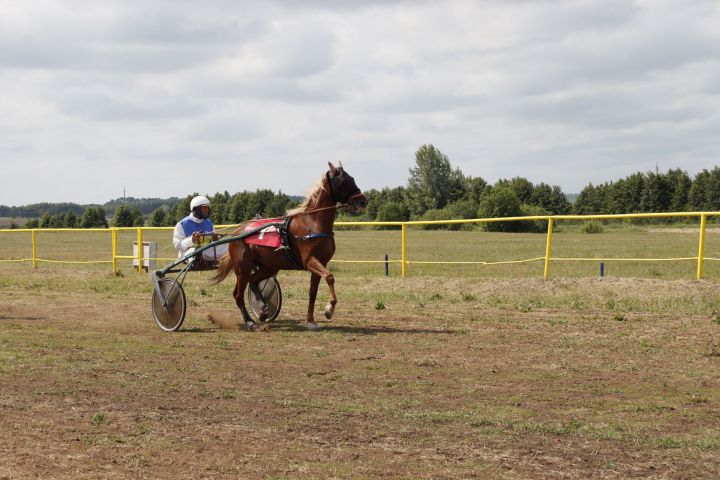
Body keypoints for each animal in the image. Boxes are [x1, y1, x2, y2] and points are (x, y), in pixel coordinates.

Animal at [208, 161, 366, 330]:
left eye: (352, 178)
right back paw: (250, 322)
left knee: (253, 281)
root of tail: (237, 232)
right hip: (243, 267)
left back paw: (263, 309)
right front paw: (329, 310)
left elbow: (313, 292)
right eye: (343, 181)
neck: (312, 223)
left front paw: (311, 321)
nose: (363, 201)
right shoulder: (309, 261)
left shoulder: (321, 262)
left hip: (269, 266)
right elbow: (329, 277)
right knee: (238, 294)